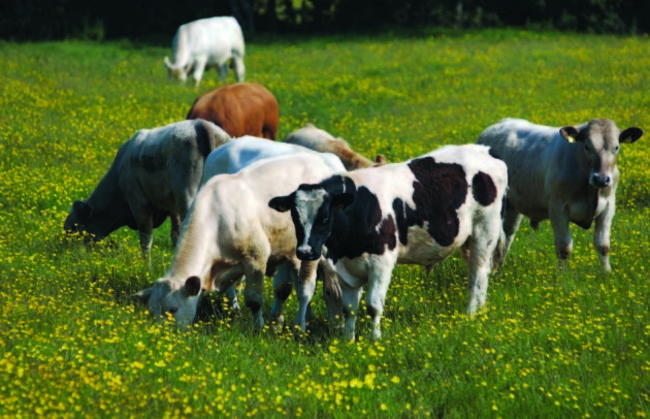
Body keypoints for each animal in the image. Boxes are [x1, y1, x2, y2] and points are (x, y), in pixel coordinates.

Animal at [64, 118, 230, 256]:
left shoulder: (138, 203)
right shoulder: (172, 207)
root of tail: (199, 124)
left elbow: (146, 240)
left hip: (187, 195)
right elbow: (175, 235)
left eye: (73, 227)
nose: (67, 253)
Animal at [132, 151, 344, 332]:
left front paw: (258, 327)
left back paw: (299, 326)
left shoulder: (256, 258)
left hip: (311, 251)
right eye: (151, 310)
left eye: (173, 309)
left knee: (305, 289)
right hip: (289, 250)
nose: (160, 334)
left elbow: (254, 299)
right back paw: (283, 322)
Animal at [268, 144, 506, 342]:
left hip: (485, 231)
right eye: (294, 217)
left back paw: (472, 313)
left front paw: (374, 340)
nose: (305, 252)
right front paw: (348, 341)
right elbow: (349, 308)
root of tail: (487, 151)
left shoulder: (381, 262)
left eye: (325, 217)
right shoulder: (345, 267)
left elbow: (373, 306)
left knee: (478, 273)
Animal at [476, 117, 644, 272]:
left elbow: (603, 245)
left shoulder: (608, 207)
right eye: (587, 146)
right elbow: (564, 247)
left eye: (616, 147)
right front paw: (562, 276)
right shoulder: (558, 208)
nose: (601, 179)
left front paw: (607, 273)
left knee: (507, 235)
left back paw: (498, 271)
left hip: (513, 205)